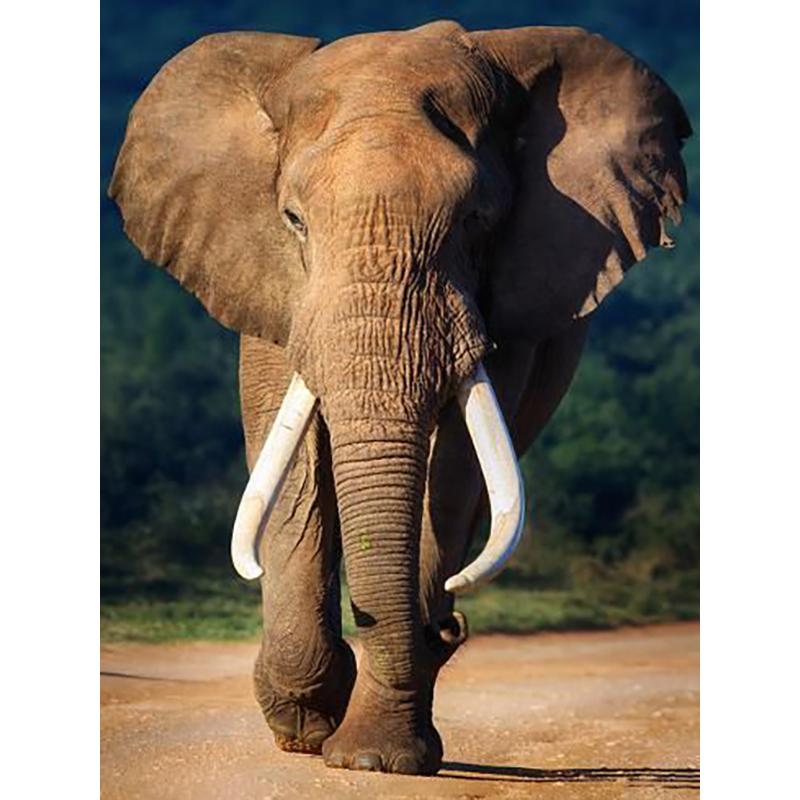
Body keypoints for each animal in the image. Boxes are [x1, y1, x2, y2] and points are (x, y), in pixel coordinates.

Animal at [109, 20, 690, 775]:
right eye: (293, 219)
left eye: (477, 220)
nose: (449, 626)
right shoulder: (265, 277)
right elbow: (290, 455)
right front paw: (306, 722)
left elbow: (454, 470)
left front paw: (372, 759)